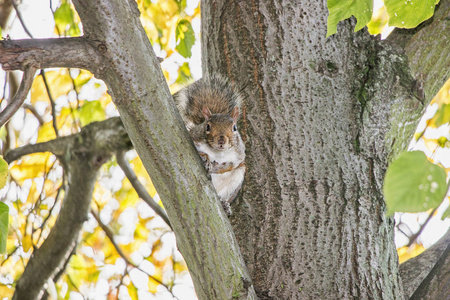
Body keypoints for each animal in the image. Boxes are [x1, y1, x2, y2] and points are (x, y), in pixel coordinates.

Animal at [176, 75, 246, 216]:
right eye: (207, 126)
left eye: (234, 128)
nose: (221, 140)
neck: (218, 152)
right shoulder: (193, 138)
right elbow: (199, 151)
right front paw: (206, 159)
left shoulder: (239, 155)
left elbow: (232, 165)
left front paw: (216, 167)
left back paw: (224, 205)